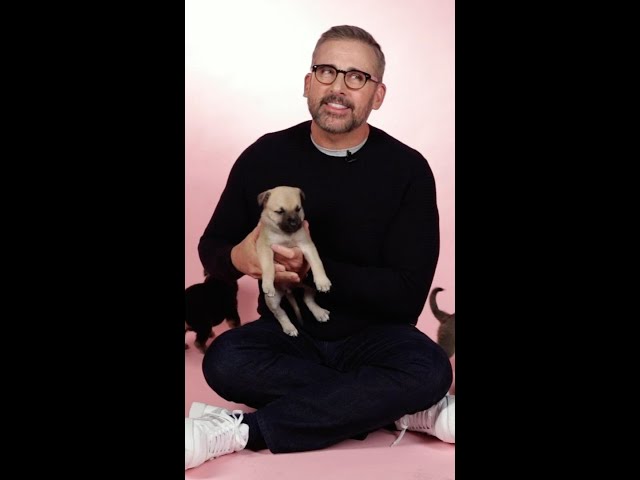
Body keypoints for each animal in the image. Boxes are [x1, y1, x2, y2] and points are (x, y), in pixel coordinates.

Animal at [256, 186, 332, 336]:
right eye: (280, 211)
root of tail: (289, 290)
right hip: (273, 300)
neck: (286, 235)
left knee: (307, 299)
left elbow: (317, 262)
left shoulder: (307, 245)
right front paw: (267, 283)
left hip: (309, 285)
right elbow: (268, 266)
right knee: (280, 313)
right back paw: (289, 327)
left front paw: (323, 281)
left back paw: (319, 312)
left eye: (298, 209)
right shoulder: (265, 248)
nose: (294, 223)